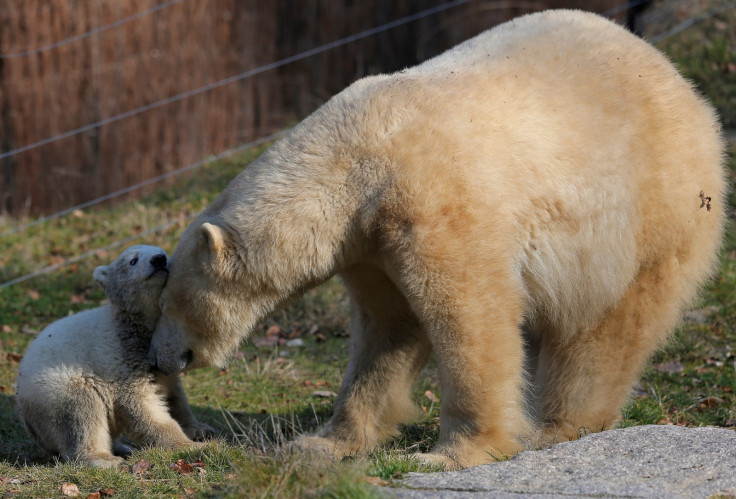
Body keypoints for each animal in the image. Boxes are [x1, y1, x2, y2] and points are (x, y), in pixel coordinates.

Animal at [15, 246, 214, 468]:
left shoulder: (163, 352)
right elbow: (142, 405)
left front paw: (200, 429)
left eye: (163, 252)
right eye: (133, 260)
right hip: (55, 391)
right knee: (82, 412)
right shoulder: (123, 358)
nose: (158, 259)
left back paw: (124, 448)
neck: (132, 325)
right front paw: (191, 446)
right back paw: (104, 458)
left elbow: (172, 394)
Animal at [147, 9, 728, 470]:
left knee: (604, 326)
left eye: (166, 303)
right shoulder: (368, 241)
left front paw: (457, 453)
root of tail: (686, 88)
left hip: (646, 210)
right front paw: (323, 443)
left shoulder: (434, 203)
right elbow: (389, 330)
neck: (352, 158)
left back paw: (558, 426)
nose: (157, 360)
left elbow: (472, 315)